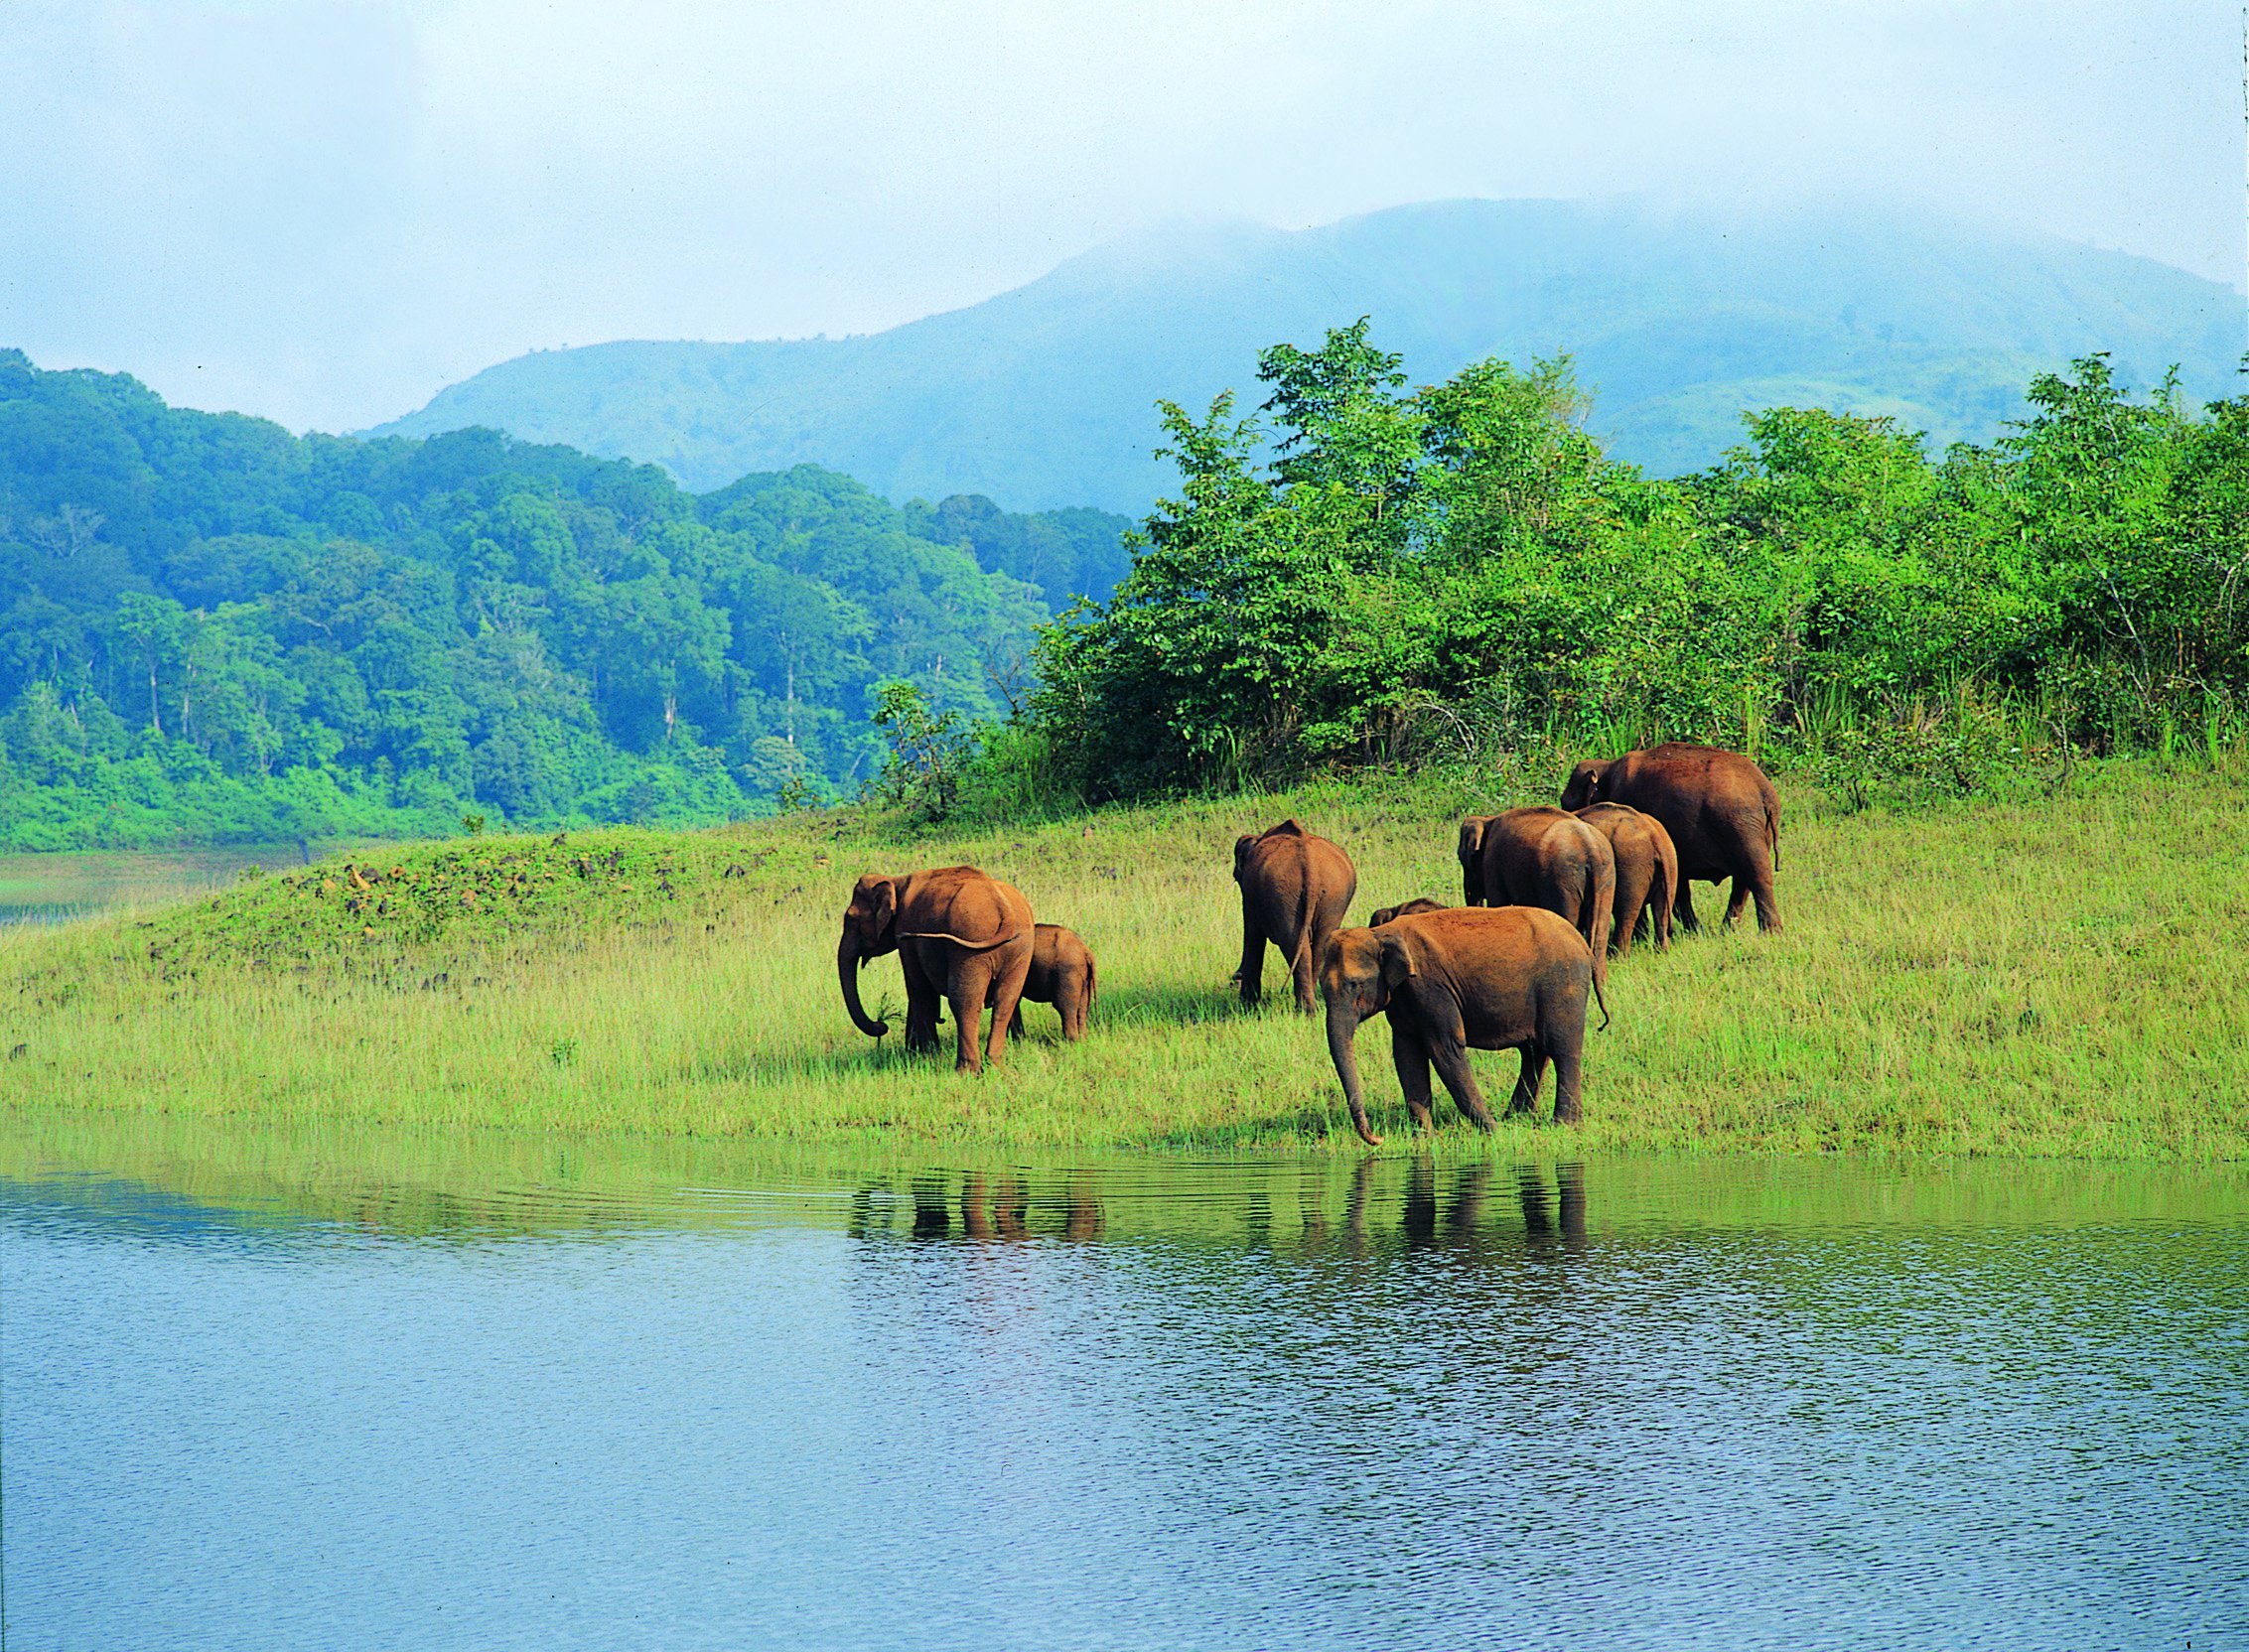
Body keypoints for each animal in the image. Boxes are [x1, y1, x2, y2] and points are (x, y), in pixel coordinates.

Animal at [841, 867, 1030, 1074]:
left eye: (850, 919)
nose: (881, 1025)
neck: (896, 881)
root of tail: (1005, 911)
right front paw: (917, 1053)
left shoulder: (905, 934)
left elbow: (917, 989)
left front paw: (926, 1056)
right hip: (1020, 950)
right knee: (1006, 1001)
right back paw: (994, 1066)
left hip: (970, 946)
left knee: (964, 1002)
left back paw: (965, 1071)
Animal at [1232, 822, 1349, 1016]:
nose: (1235, 976)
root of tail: (1310, 866)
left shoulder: (1250, 898)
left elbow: (1252, 935)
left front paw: (1246, 1008)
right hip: (1333, 897)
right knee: (1319, 945)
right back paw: (1310, 1011)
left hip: (1283, 893)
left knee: (1293, 943)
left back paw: (1304, 1012)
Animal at [1313, 903, 1618, 1151]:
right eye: (1323, 987)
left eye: (1355, 985)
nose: (1378, 1139)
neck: (1380, 934)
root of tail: (1583, 945)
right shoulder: (1403, 997)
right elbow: (1406, 1054)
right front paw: (1425, 1139)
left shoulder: (1430, 987)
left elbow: (1445, 1048)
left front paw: (1493, 1132)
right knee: (1534, 1052)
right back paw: (1516, 1118)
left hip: (1563, 984)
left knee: (1563, 1049)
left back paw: (1563, 1125)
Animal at [1556, 746, 1780, 930]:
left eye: (1565, 802)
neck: (1607, 768)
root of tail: (1765, 791)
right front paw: (1695, 932)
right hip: (1753, 829)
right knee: (1743, 881)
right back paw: (1727, 930)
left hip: (1740, 826)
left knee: (1756, 874)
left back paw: (1769, 932)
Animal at [1574, 799, 1682, 957]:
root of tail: (1654, 835)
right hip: (1670, 861)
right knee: (1660, 912)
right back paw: (1661, 953)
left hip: (1631, 863)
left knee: (1625, 916)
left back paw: (1617, 957)